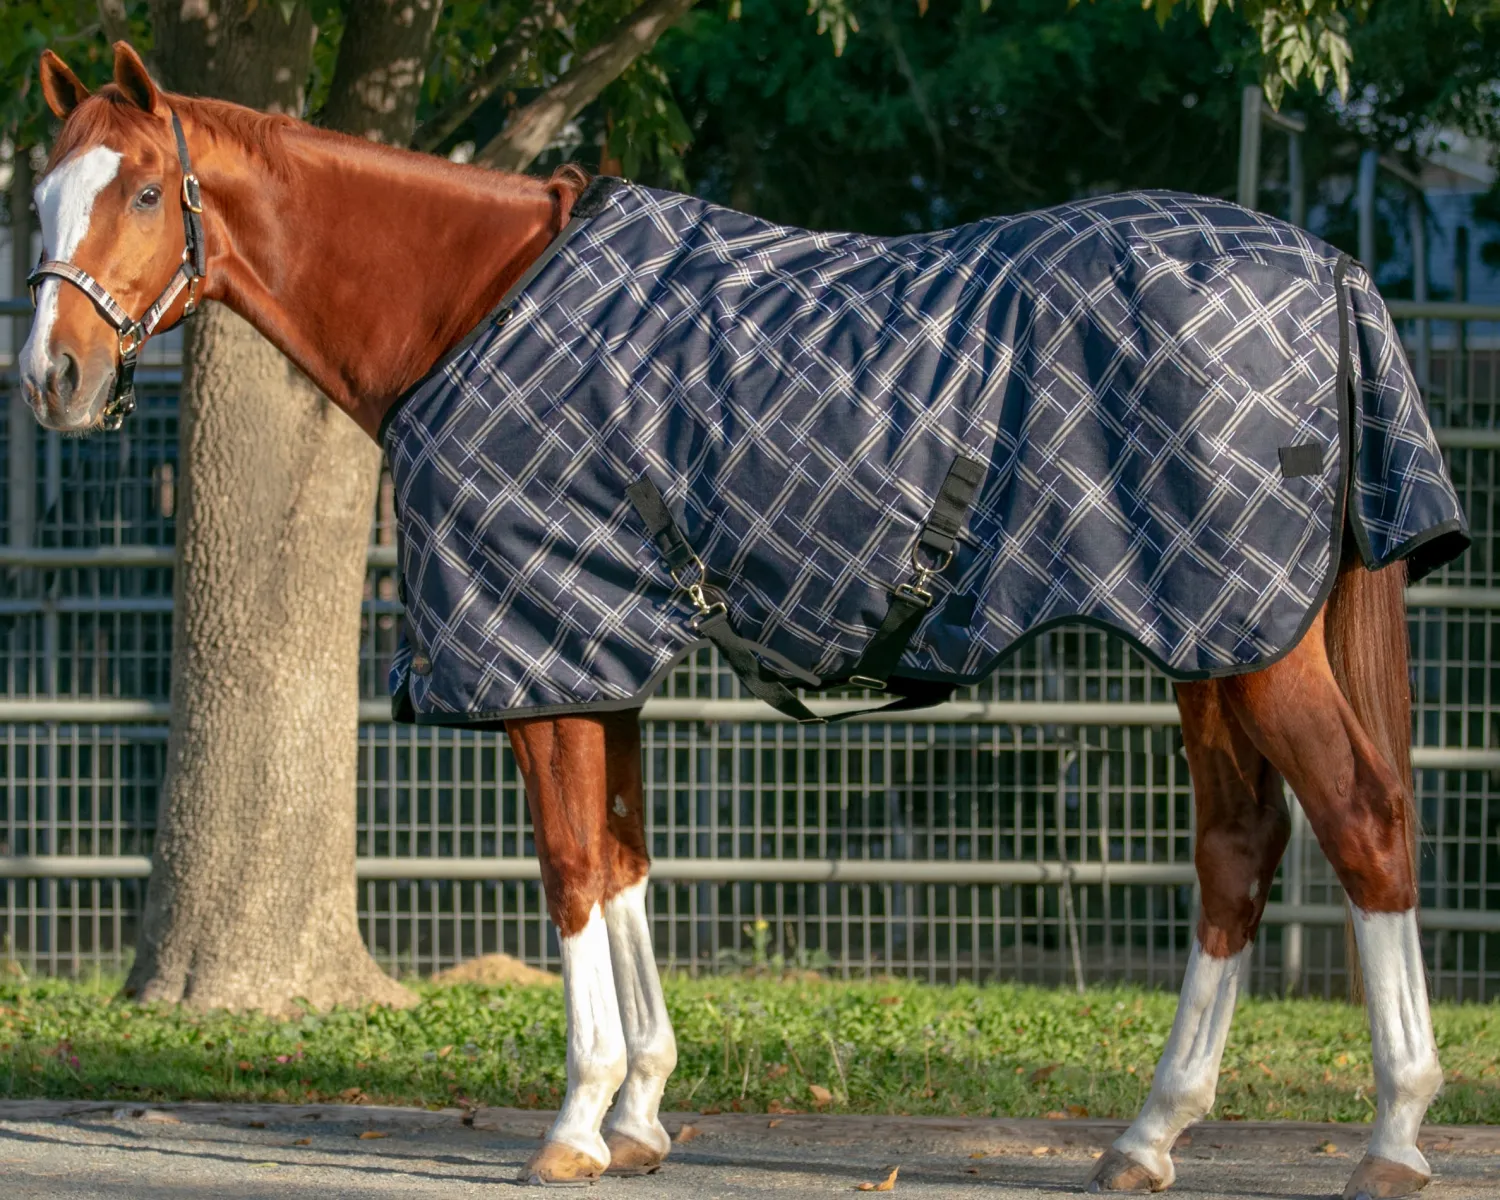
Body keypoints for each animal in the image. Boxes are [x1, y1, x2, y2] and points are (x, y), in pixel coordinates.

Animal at [22, 43, 1457, 1200]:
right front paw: (643, 1112)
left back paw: (1392, 1137)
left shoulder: (537, 653)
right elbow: (624, 861)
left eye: (141, 191)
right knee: (1237, 850)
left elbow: (569, 870)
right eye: (36, 196)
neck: (470, 300)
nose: (53, 379)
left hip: (1252, 643)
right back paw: (1149, 1137)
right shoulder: (597, 657)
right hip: (1214, 638)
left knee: (1365, 819)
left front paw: (575, 1122)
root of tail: (1331, 269)